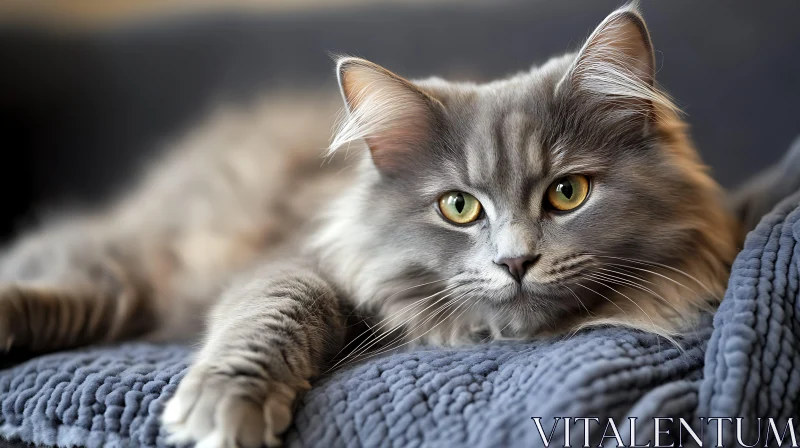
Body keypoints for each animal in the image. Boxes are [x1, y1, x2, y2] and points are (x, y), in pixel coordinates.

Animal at [0, 4, 736, 448]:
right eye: (459, 207)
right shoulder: (295, 264)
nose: (515, 262)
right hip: (126, 267)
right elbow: (275, 308)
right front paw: (224, 408)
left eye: (568, 193)